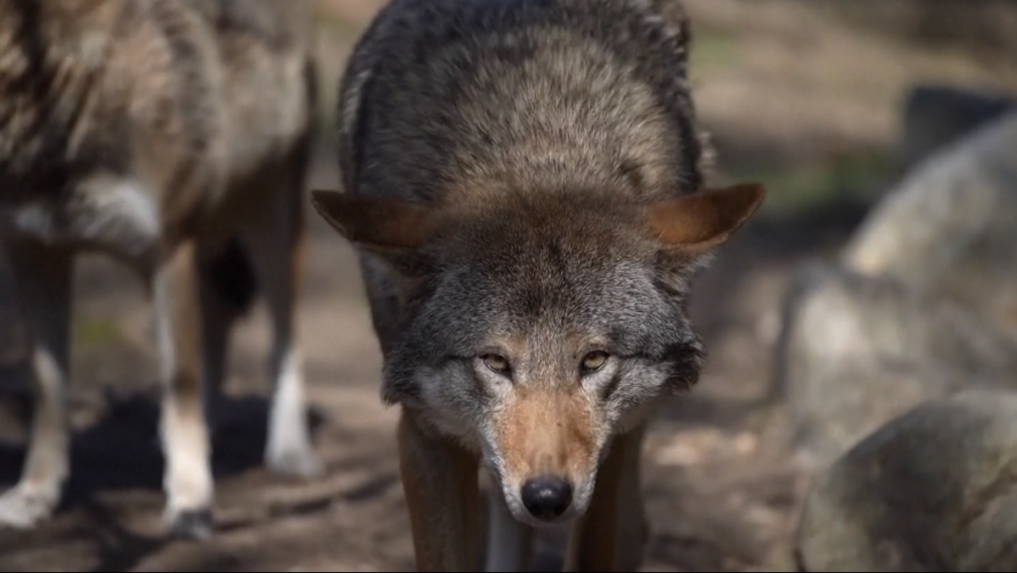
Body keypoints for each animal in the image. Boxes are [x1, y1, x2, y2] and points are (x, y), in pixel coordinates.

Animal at [0, 0, 321, 541]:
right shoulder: (35, 253)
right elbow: (50, 395)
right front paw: (36, 494)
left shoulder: (168, 248)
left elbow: (180, 391)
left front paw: (191, 503)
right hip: (206, 244)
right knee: (216, 325)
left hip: (269, 230)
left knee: (286, 338)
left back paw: (290, 451)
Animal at [313, 0, 764, 569]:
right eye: (495, 361)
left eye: (594, 360)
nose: (548, 497)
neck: (534, 140)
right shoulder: (424, 431)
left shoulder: (612, 447)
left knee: (632, 525)